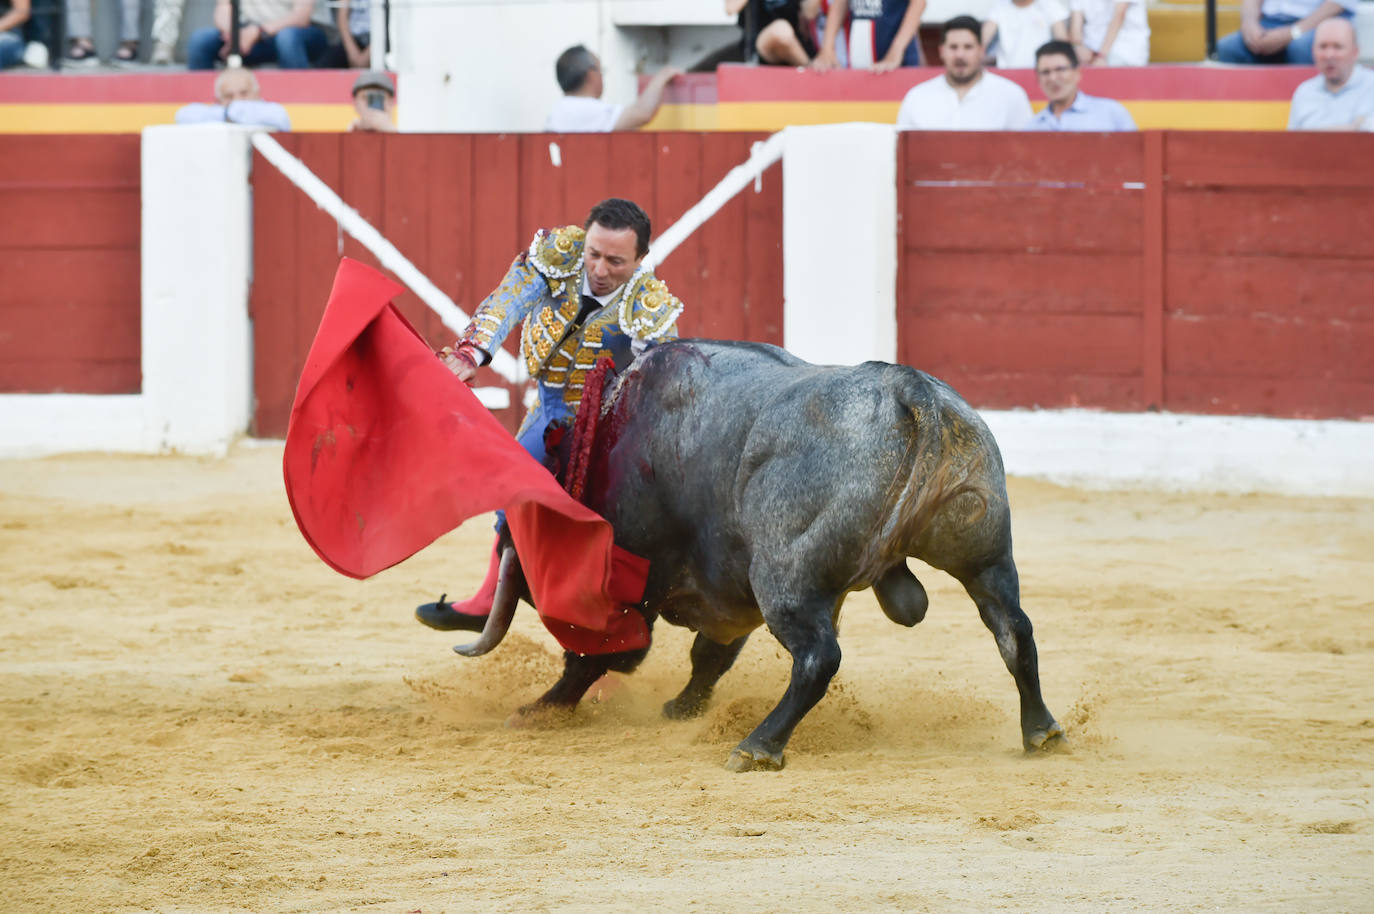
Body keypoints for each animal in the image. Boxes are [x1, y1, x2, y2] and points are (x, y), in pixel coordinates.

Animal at [414, 338, 1060, 764]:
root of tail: (911, 390)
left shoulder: (636, 581)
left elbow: (596, 653)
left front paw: (541, 710)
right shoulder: (729, 591)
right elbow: (710, 655)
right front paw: (681, 709)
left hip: (785, 579)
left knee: (818, 658)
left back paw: (758, 746)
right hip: (984, 555)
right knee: (1014, 630)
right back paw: (1042, 731)